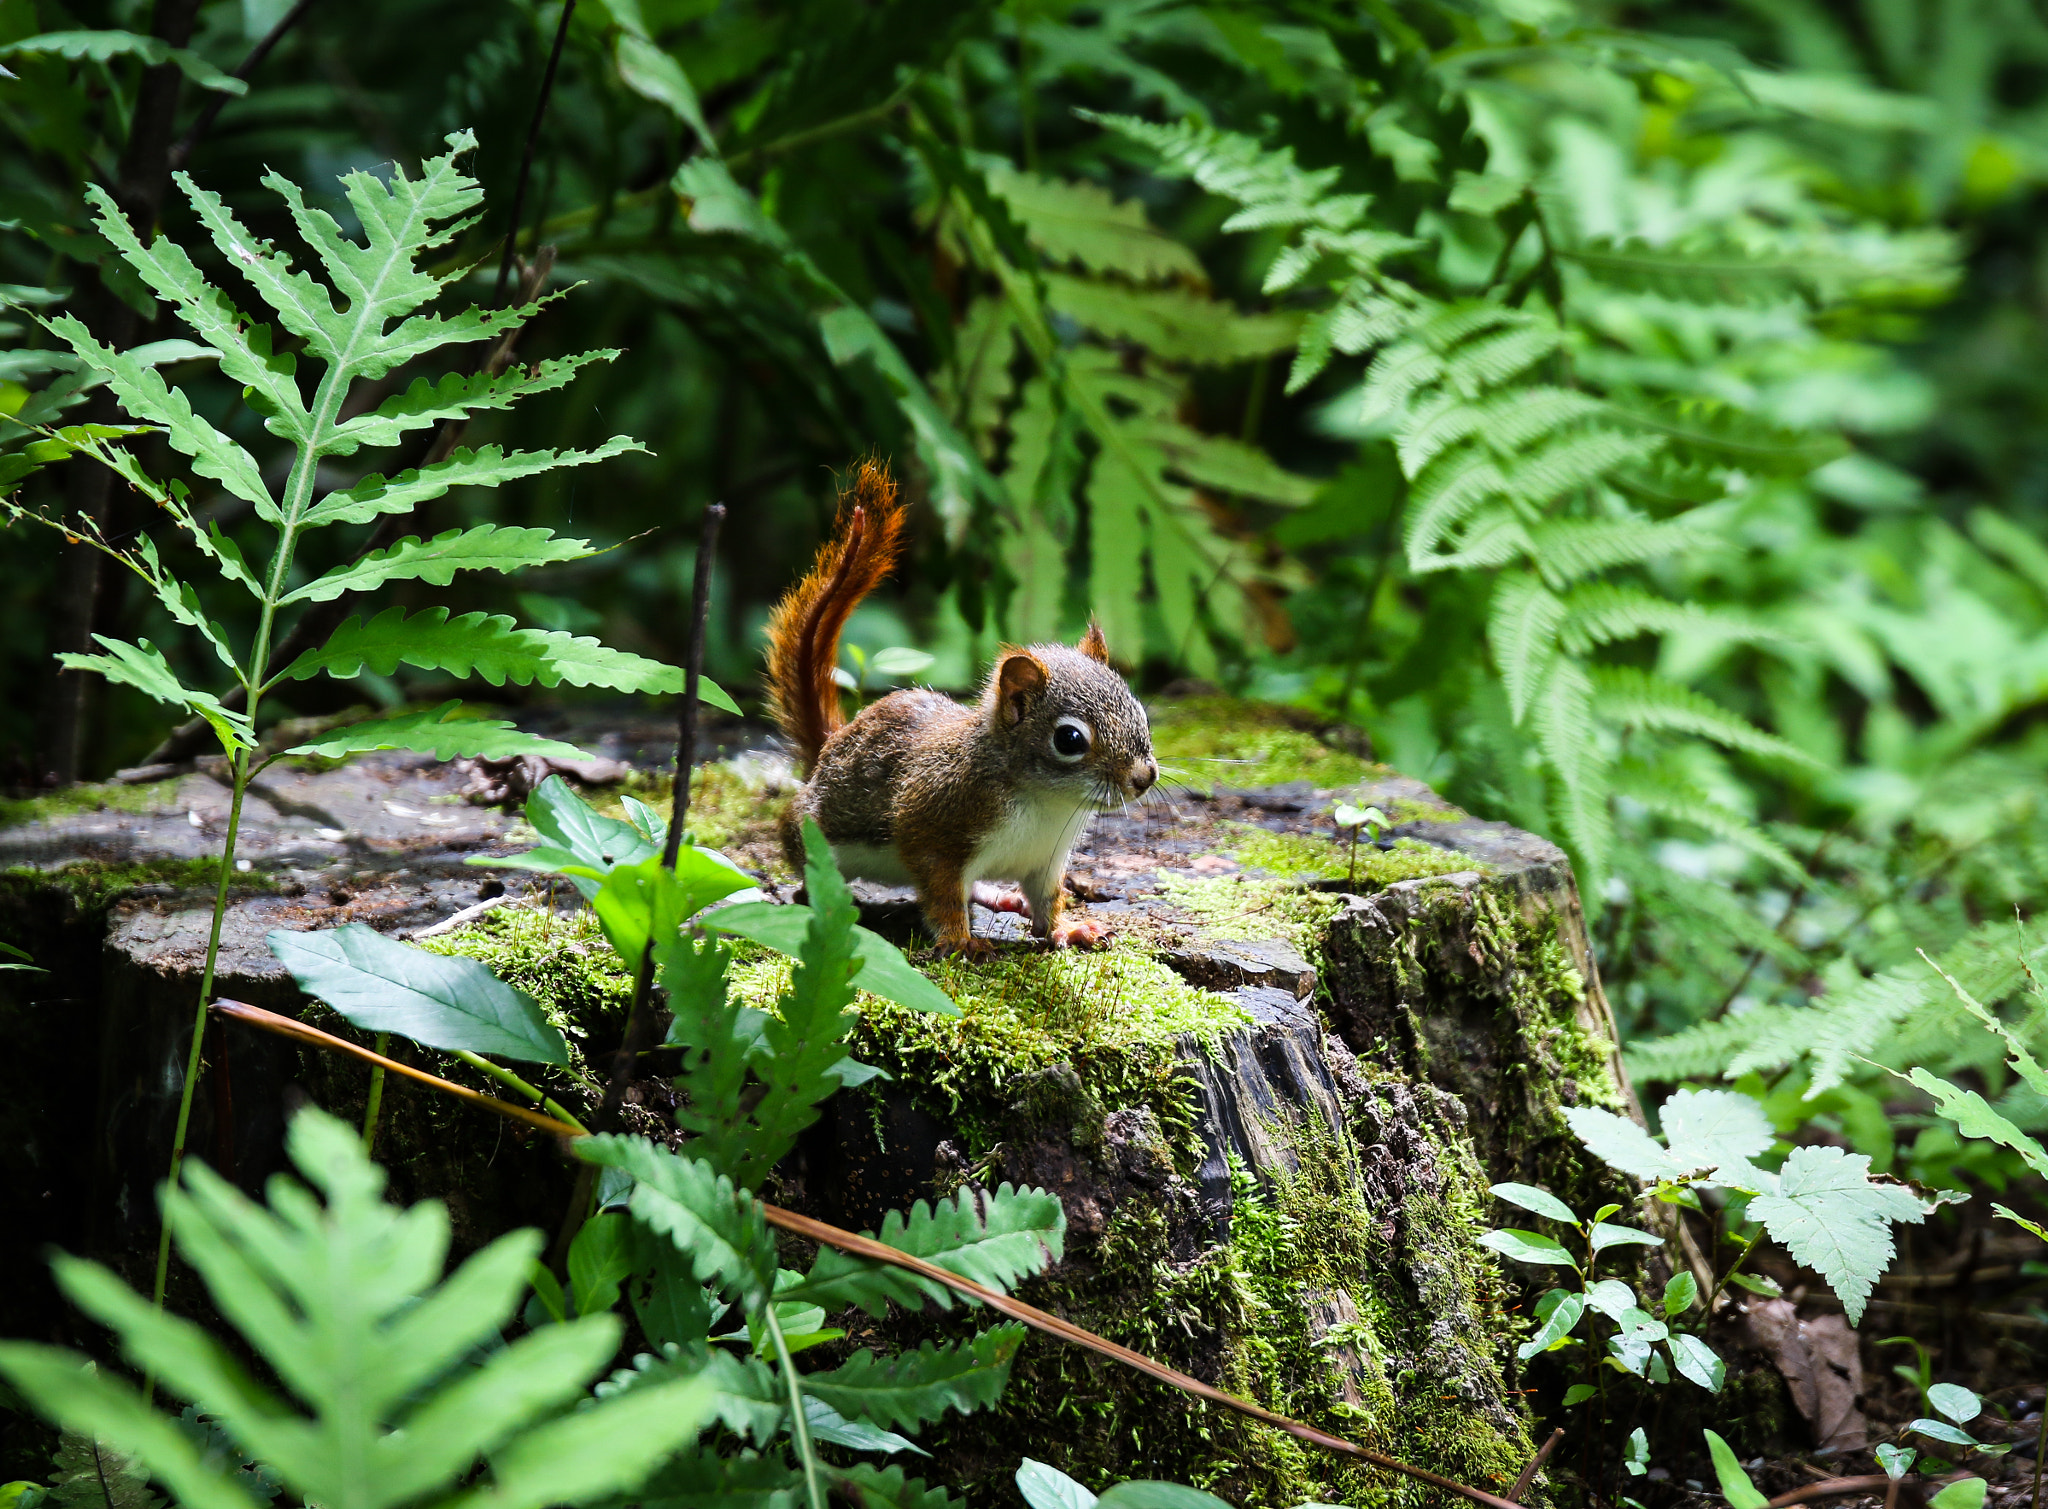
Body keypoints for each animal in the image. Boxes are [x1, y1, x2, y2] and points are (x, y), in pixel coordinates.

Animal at [764, 460, 1158, 956]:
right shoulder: (934, 830)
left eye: (1140, 711)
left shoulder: (1046, 860)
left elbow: (1047, 904)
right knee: (805, 870)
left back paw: (999, 896)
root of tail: (829, 746)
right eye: (1069, 739)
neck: (1046, 804)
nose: (1145, 778)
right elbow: (943, 895)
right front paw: (961, 941)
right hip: (814, 833)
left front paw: (1068, 929)